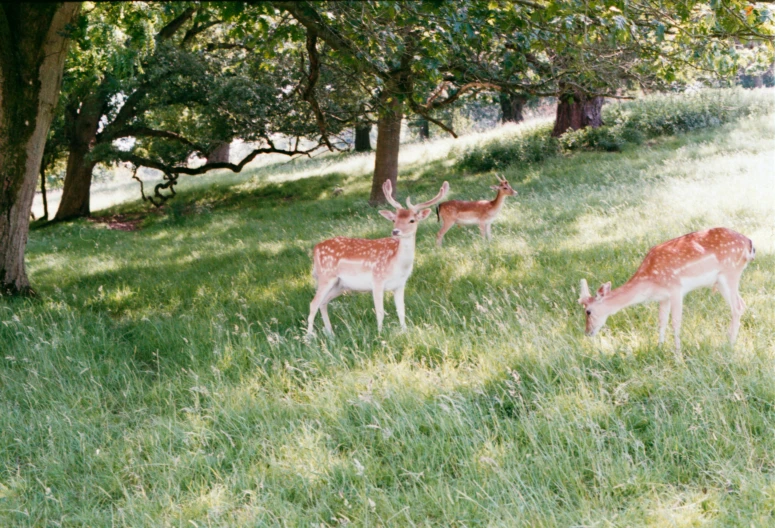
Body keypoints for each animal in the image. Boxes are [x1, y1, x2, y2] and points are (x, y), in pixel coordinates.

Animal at [304, 179, 448, 336]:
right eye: (394, 219)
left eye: (412, 220)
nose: (395, 231)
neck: (398, 264)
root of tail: (316, 248)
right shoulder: (377, 280)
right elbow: (380, 311)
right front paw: (380, 334)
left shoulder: (400, 284)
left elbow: (401, 311)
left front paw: (405, 332)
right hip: (326, 276)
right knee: (313, 303)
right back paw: (309, 337)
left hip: (340, 285)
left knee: (323, 303)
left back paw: (330, 334)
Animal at [580, 228, 756, 354]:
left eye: (588, 311)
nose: (587, 332)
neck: (649, 282)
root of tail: (749, 244)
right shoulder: (663, 297)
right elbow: (662, 321)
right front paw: (659, 347)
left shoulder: (676, 288)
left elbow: (676, 322)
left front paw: (678, 355)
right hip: (720, 281)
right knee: (742, 304)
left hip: (730, 272)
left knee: (737, 307)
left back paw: (729, 345)